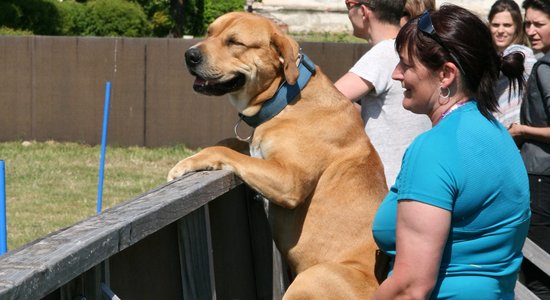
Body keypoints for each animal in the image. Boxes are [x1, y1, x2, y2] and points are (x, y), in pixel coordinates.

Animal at [168, 11, 388, 298]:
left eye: (235, 42)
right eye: (209, 32)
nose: (189, 54)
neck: (284, 97)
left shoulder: (289, 181)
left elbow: (226, 151)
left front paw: (186, 163)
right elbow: (230, 143)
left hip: (313, 276)